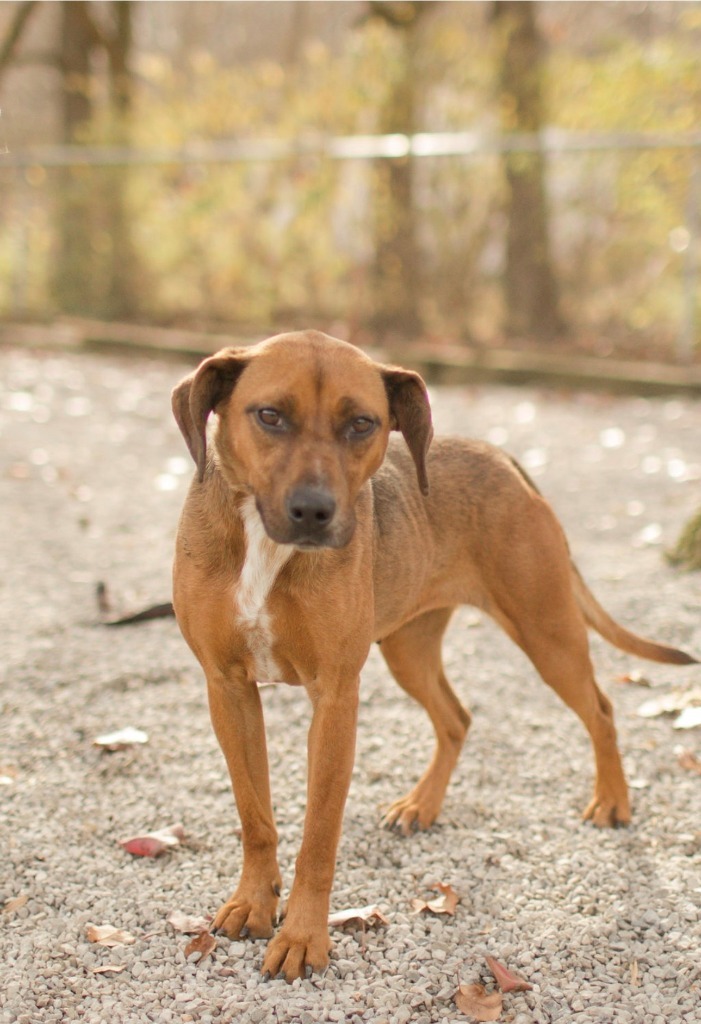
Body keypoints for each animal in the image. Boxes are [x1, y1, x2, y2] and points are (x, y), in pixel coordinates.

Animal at [170, 331, 695, 978]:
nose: (314, 512)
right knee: (456, 717)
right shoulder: (229, 688)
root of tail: (503, 458)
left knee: (600, 708)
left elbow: (318, 837)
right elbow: (255, 817)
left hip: (546, 631)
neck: (264, 546)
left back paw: (613, 800)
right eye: (269, 415)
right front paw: (253, 902)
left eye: (362, 423)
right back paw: (422, 804)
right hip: (409, 650)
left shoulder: (335, 698)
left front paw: (302, 936)